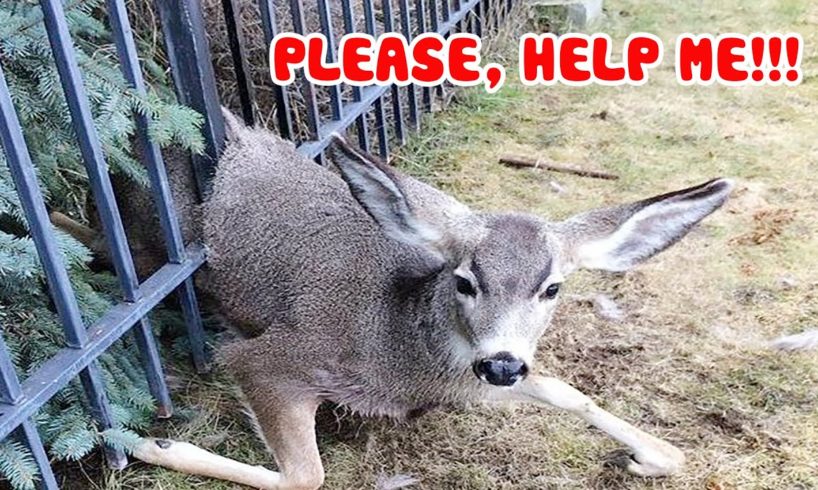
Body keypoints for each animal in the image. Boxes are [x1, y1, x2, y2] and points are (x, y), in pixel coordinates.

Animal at [56, 110, 734, 488]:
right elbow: (307, 476)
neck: (402, 349)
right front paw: (149, 443)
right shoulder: (271, 358)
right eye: (464, 280)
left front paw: (650, 456)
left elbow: (571, 392)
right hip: (146, 236)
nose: (502, 363)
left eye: (552, 288)